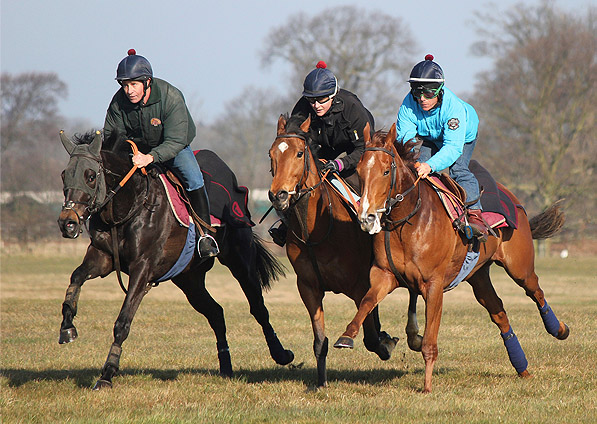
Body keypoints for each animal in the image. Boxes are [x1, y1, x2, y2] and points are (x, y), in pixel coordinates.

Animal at [56, 131, 294, 390]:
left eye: (90, 176)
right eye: (64, 174)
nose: (68, 223)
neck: (130, 207)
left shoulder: (142, 268)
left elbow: (122, 322)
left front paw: (107, 373)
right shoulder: (103, 257)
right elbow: (76, 278)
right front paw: (67, 326)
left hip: (240, 261)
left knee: (258, 308)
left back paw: (281, 354)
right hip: (189, 279)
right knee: (216, 313)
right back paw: (225, 366)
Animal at [268, 116, 416, 388]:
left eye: (299, 153)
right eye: (271, 154)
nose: (278, 195)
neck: (315, 231)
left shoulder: (359, 285)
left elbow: (371, 336)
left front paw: (386, 343)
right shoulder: (308, 287)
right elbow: (320, 341)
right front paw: (321, 382)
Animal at [336, 124, 568, 392]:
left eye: (385, 171)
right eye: (360, 171)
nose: (367, 217)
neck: (410, 220)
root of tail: (514, 200)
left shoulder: (433, 285)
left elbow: (429, 342)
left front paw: (427, 386)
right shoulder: (384, 275)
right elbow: (366, 302)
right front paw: (346, 336)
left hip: (520, 266)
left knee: (536, 291)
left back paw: (559, 330)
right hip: (478, 276)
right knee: (499, 312)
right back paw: (522, 368)